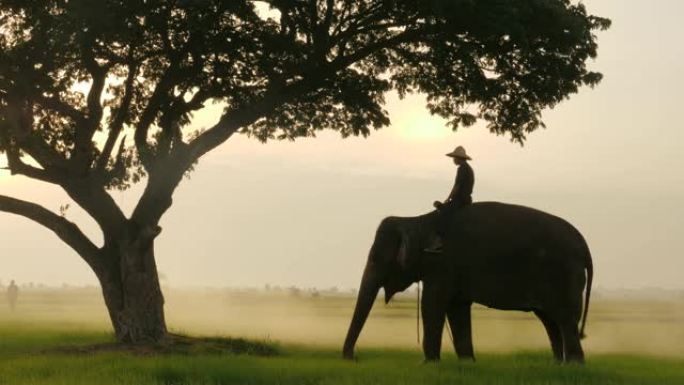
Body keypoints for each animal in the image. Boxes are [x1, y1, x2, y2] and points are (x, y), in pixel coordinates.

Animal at [342, 201, 592, 364]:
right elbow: (457, 309)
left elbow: (432, 305)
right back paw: (558, 365)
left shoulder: (442, 264)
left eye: (376, 259)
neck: (417, 219)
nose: (353, 357)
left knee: (564, 318)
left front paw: (429, 364)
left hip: (563, 274)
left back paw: (573, 366)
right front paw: (467, 363)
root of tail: (583, 244)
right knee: (550, 320)